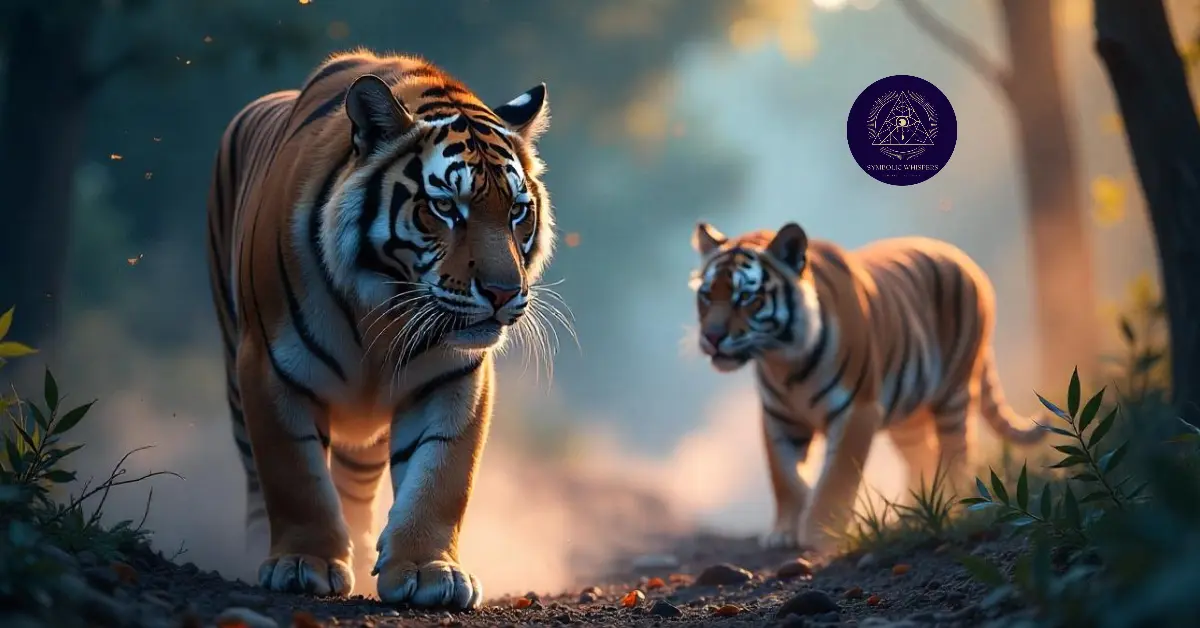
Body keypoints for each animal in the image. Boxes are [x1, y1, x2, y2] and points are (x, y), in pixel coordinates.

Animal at [205, 49, 556, 609]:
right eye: (445, 207)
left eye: (517, 212)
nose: (503, 293)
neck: (383, 313)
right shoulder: (269, 365)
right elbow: (294, 473)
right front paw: (304, 564)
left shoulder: (454, 376)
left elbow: (441, 476)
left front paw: (427, 570)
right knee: (256, 475)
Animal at [688, 220, 1046, 552]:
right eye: (706, 296)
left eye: (746, 298)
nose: (712, 337)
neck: (783, 362)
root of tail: (965, 260)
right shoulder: (777, 418)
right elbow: (784, 478)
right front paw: (785, 531)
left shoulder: (856, 411)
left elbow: (836, 478)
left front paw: (819, 534)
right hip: (907, 418)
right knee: (924, 455)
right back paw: (916, 509)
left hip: (953, 393)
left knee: (956, 451)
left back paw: (958, 503)